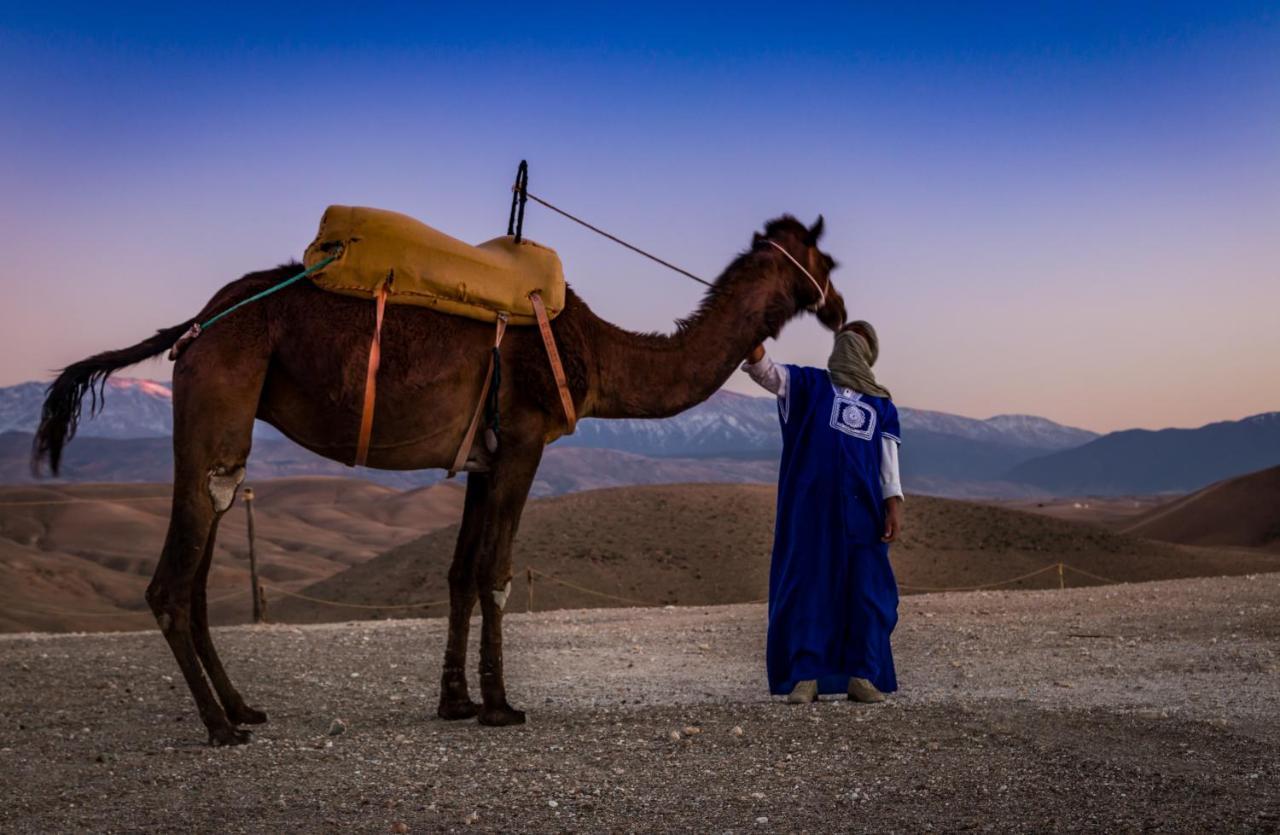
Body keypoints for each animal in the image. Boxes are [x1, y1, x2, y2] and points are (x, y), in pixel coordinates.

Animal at [32, 215, 839, 742]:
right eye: (825, 264)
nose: (839, 307)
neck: (598, 351)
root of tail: (198, 322)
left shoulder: (482, 454)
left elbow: (456, 572)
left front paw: (455, 700)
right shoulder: (524, 439)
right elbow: (496, 572)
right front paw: (501, 704)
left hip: (217, 415)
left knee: (198, 567)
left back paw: (240, 708)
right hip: (220, 398)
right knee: (174, 576)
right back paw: (218, 726)